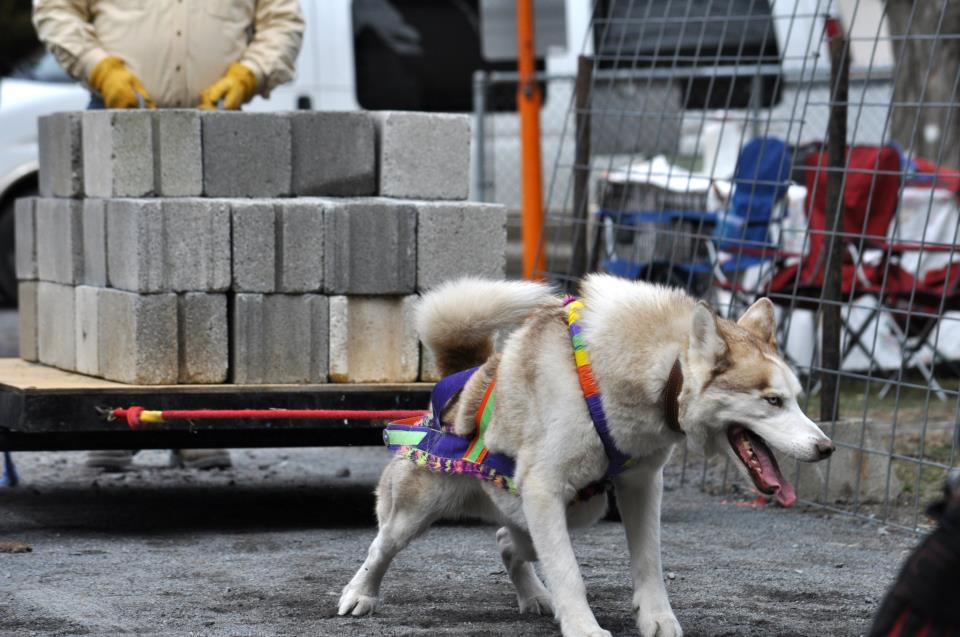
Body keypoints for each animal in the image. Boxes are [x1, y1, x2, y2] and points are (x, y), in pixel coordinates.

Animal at [342, 274, 836, 636]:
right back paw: (359, 593)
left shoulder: (640, 485)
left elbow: (649, 562)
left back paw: (534, 594)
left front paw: (657, 619)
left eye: (796, 398)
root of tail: (460, 380)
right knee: (382, 544)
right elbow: (568, 572)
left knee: (509, 540)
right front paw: (583, 627)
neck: (652, 376)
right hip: (421, 508)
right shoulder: (545, 488)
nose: (826, 447)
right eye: (772, 401)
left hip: (580, 507)